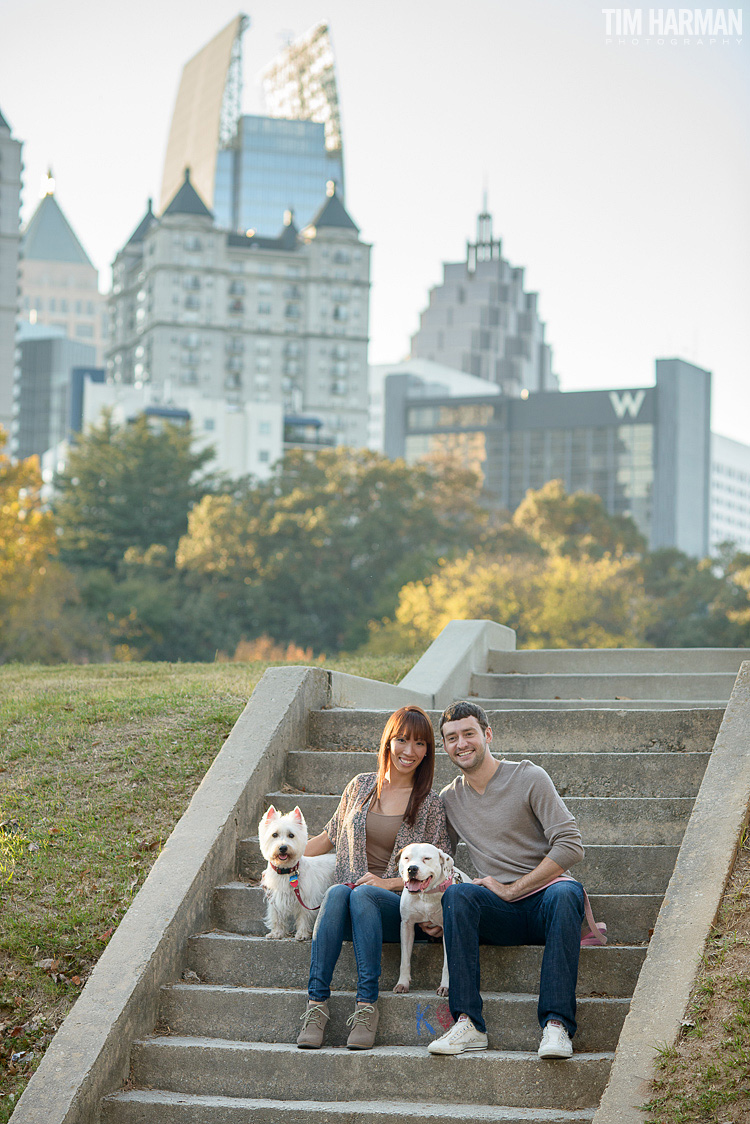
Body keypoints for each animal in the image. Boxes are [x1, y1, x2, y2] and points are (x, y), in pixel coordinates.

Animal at [260, 809, 337, 939]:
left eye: (291, 835)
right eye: (274, 834)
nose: (283, 847)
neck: (286, 871)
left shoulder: (306, 897)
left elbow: (303, 915)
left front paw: (302, 934)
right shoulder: (275, 898)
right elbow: (277, 916)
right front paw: (276, 933)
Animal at [395, 845, 465, 993]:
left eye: (426, 858)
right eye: (406, 858)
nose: (412, 869)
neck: (426, 895)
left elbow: (448, 964)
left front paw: (445, 986)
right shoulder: (406, 926)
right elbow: (405, 960)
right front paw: (403, 983)